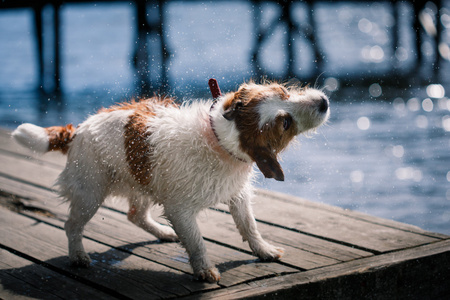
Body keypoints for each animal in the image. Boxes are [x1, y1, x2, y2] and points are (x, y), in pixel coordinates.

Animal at [12, 81, 328, 282]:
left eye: (284, 92)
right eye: (285, 123)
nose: (324, 102)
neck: (218, 140)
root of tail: (78, 130)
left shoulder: (237, 194)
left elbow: (249, 226)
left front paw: (263, 250)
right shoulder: (181, 210)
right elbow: (197, 242)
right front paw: (204, 270)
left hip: (143, 182)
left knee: (135, 215)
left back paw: (162, 232)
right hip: (91, 192)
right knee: (72, 225)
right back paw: (78, 255)